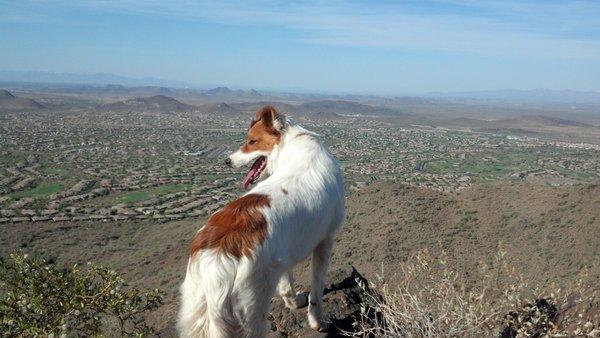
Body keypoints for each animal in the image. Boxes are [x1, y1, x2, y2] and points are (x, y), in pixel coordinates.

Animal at [177, 106, 346, 338]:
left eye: (252, 141)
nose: (227, 161)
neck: (291, 144)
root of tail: (217, 254)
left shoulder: (284, 254)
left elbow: (286, 284)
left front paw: (294, 302)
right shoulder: (325, 242)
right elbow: (317, 289)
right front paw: (317, 320)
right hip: (250, 313)